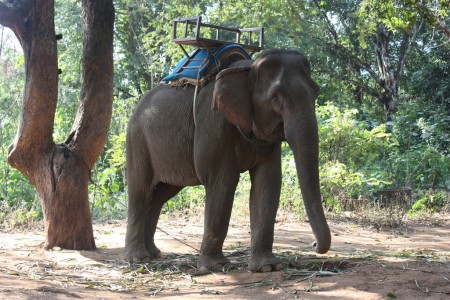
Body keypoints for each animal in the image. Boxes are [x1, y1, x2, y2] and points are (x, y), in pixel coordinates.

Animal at [125, 48, 332, 272]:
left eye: (316, 92)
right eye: (275, 98)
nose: (313, 244)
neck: (247, 68)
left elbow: (268, 183)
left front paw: (267, 267)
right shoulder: (213, 123)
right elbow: (223, 181)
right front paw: (214, 267)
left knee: (160, 195)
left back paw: (153, 253)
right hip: (137, 140)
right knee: (140, 192)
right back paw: (138, 259)